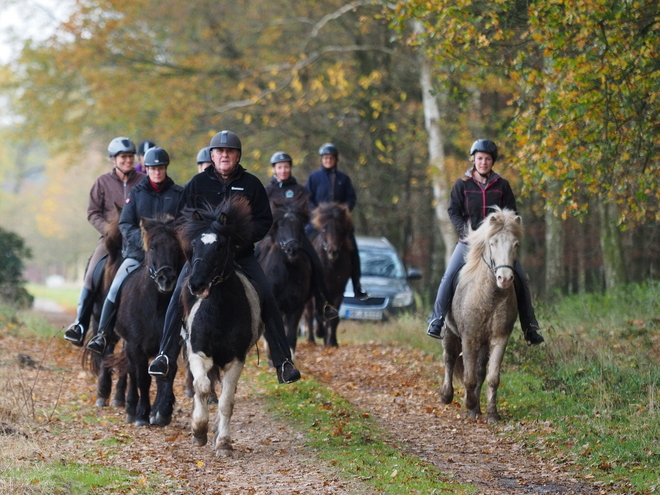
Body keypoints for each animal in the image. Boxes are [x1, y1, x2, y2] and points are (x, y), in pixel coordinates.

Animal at [109, 215, 184, 428]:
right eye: (152, 247)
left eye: (176, 247)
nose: (166, 278)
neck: (156, 304)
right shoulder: (136, 346)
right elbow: (142, 378)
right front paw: (142, 414)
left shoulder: (171, 343)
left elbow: (167, 373)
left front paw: (162, 412)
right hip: (128, 346)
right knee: (132, 372)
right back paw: (131, 409)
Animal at [180, 197, 266, 458]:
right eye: (195, 244)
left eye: (219, 247)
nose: (196, 284)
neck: (219, 313)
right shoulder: (197, 353)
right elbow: (201, 386)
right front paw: (199, 430)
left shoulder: (235, 359)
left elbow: (227, 401)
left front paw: (224, 442)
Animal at [255, 200, 312, 354]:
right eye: (280, 225)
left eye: (299, 224)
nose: (292, 249)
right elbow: (273, 336)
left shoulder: (296, 307)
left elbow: (290, 335)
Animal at [304, 202, 354, 348]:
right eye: (324, 228)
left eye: (340, 229)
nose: (333, 251)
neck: (331, 264)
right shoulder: (317, 291)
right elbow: (317, 313)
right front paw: (320, 332)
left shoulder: (338, 290)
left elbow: (334, 315)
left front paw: (331, 341)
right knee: (309, 314)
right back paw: (311, 340)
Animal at [440, 207, 524, 424]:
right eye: (492, 243)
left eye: (516, 244)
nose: (505, 278)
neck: (490, 295)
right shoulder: (469, 338)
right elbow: (468, 377)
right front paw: (468, 403)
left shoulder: (499, 338)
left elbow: (491, 378)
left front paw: (492, 414)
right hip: (449, 333)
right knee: (449, 359)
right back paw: (447, 396)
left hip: (484, 343)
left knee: (479, 370)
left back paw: (477, 408)